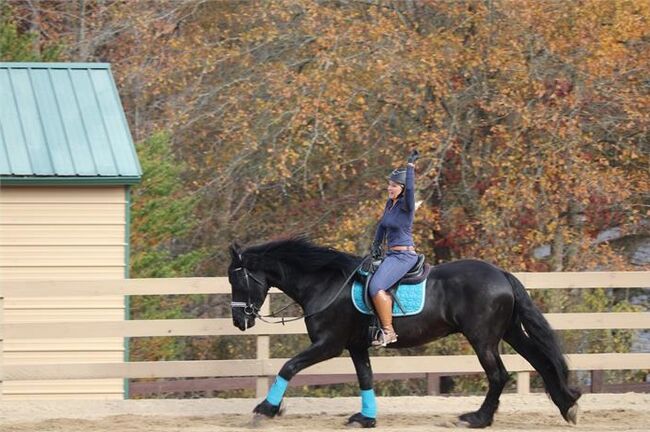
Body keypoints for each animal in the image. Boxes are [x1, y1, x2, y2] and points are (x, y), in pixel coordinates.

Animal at [227, 238, 576, 426]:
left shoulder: (329, 344)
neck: (324, 282)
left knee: (498, 375)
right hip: (509, 332)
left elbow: (289, 367)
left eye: (236, 278)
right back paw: (567, 405)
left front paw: (265, 410)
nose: (239, 322)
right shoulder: (356, 346)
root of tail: (501, 274)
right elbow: (365, 378)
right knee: (541, 362)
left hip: (483, 338)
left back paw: (477, 419)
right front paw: (366, 419)